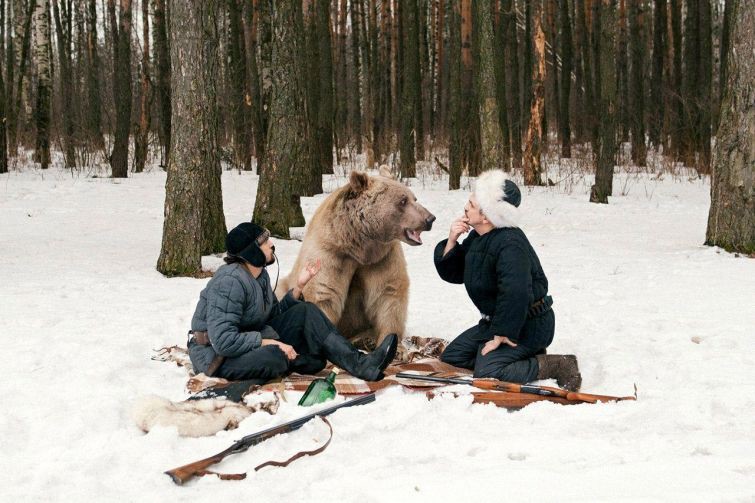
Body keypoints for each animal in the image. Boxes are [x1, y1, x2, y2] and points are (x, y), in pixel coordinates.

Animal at [274, 169, 434, 350]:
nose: (430, 219)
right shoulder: (331, 254)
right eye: (403, 200)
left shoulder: (382, 258)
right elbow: (322, 293)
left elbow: (388, 295)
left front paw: (393, 345)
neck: (359, 246)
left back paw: (365, 339)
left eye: (414, 198)